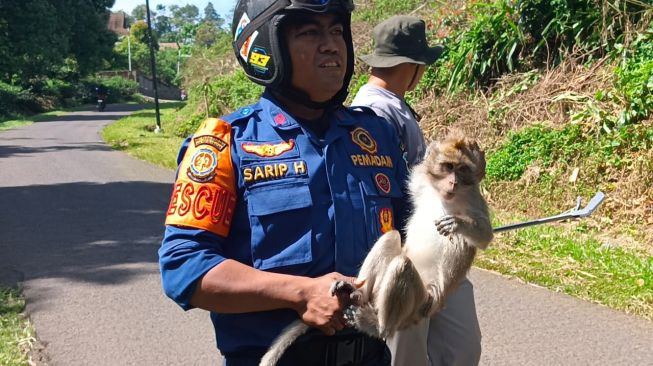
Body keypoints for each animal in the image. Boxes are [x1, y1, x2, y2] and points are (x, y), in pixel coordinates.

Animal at [258, 130, 492, 364]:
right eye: (448, 166)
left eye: (463, 170)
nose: (453, 182)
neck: (443, 197)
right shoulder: (421, 182)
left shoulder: (473, 199)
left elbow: (485, 237)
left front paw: (457, 223)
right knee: (391, 238)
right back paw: (356, 292)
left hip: (419, 302)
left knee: (404, 265)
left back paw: (379, 327)